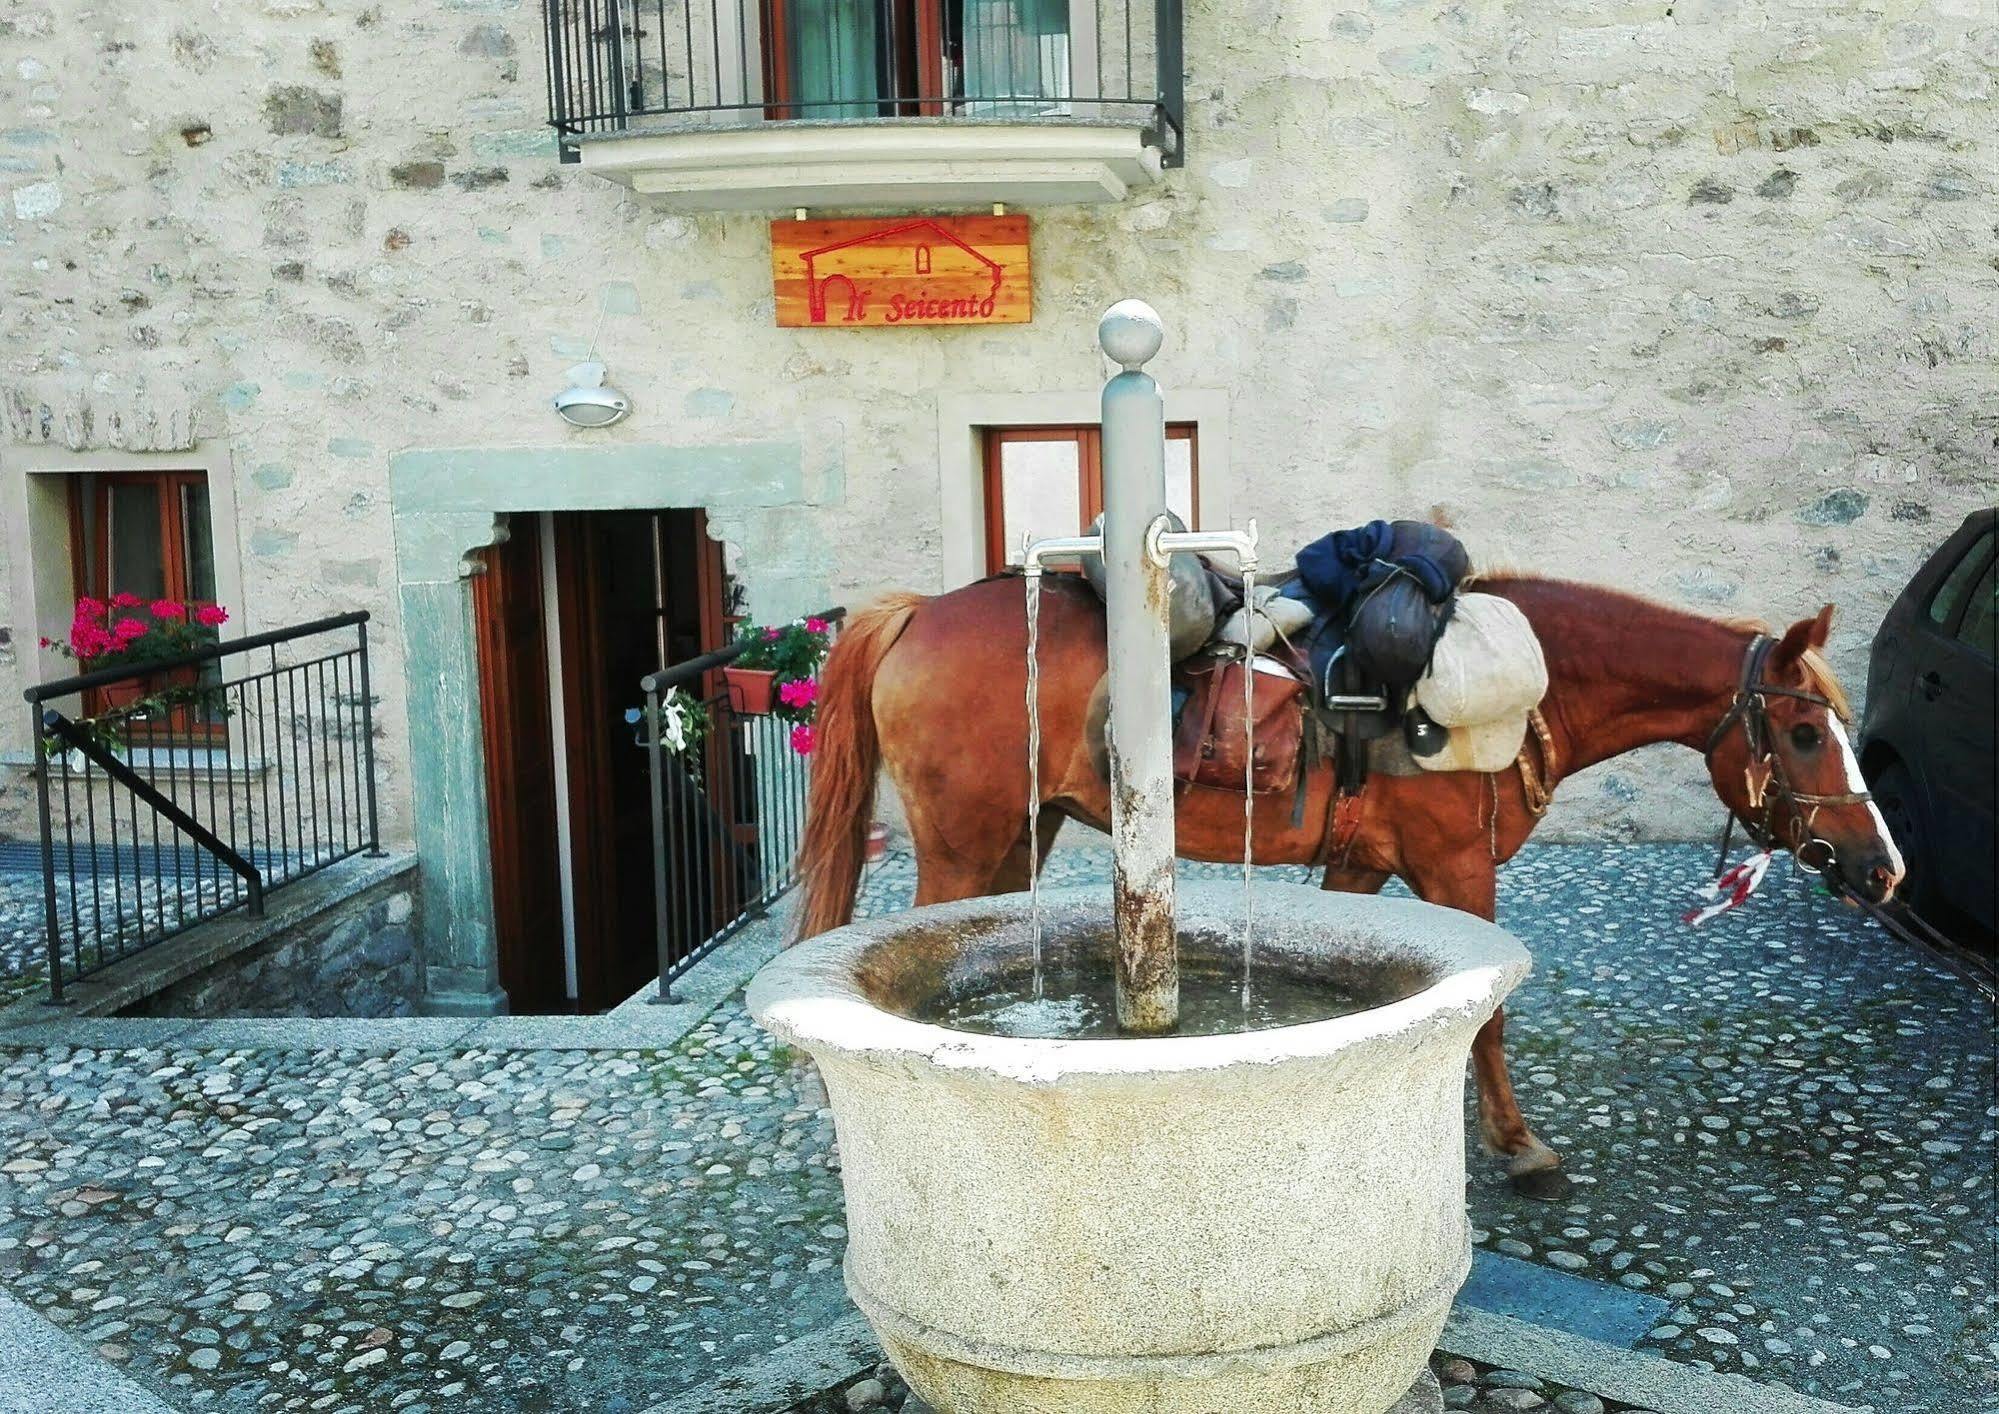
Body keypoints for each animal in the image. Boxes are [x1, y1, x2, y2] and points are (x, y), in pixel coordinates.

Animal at [791, 568, 1903, 1200]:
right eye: (1804, 732)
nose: (1881, 867)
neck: (1524, 684)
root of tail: (917, 616)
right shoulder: (1455, 868)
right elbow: (1493, 1011)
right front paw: (1518, 1145)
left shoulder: (1360, 864)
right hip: (966, 845)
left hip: (1019, 841)